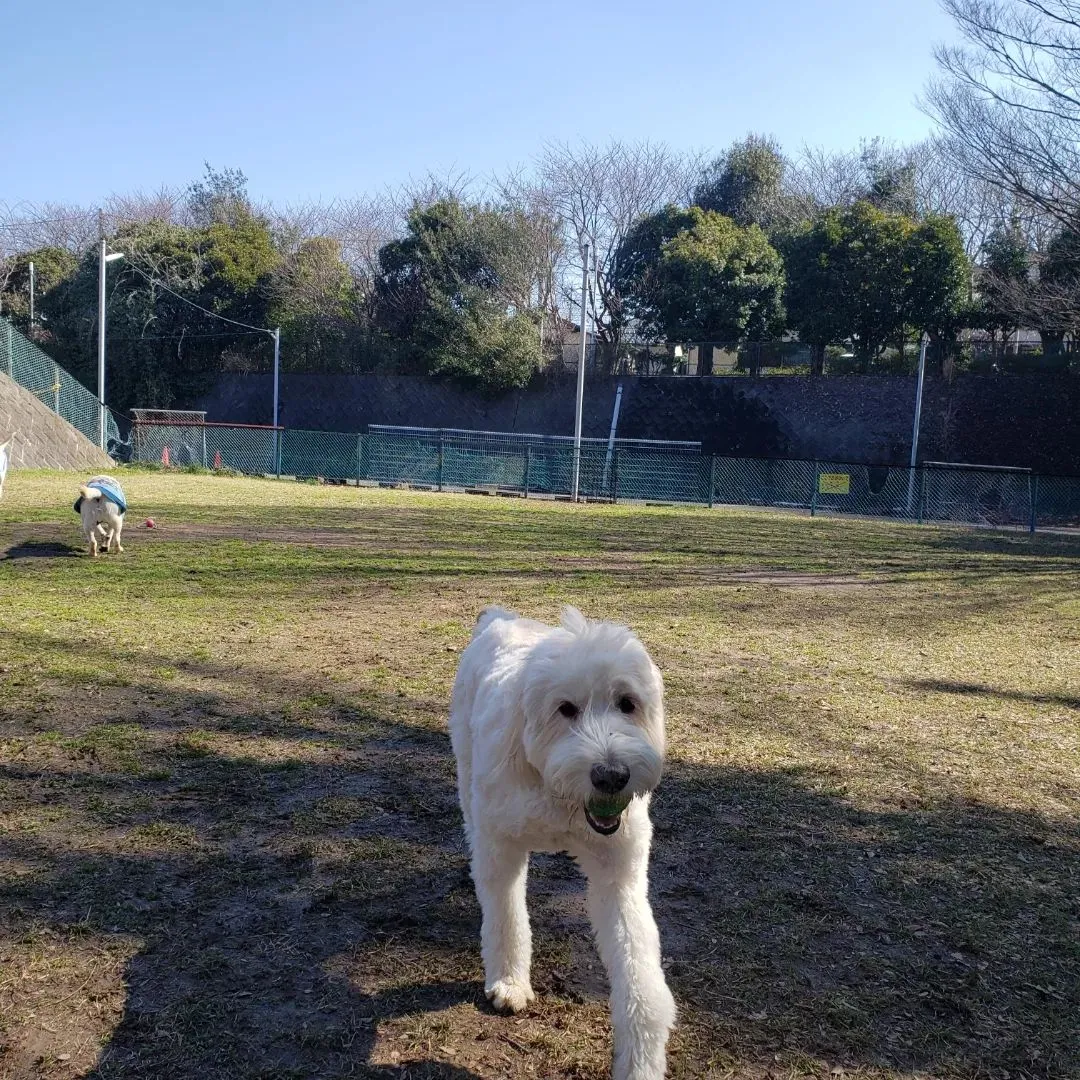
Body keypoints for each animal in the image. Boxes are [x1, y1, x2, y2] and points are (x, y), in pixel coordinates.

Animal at [449, 609, 673, 1080]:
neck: (559, 796)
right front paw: (510, 981)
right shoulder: (502, 853)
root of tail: (500, 616)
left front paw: (641, 1060)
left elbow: (639, 975)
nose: (612, 776)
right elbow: (506, 918)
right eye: (565, 709)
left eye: (627, 703)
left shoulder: (619, 879)